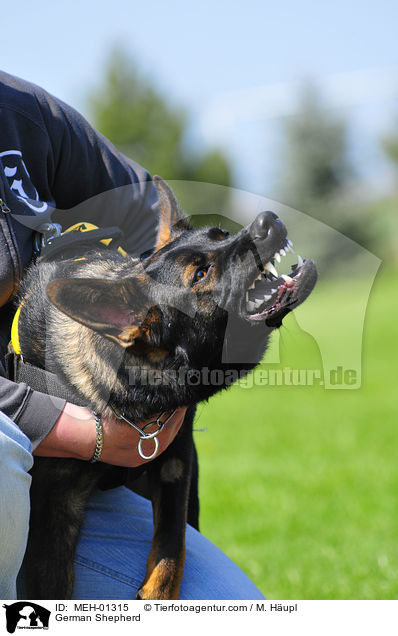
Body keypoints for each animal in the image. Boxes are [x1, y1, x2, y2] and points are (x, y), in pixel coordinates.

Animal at [15, 175, 318, 600]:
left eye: (221, 235)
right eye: (200, 275)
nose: (267, 218)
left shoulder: (176, 462)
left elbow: (171, 549)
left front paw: (156, 596)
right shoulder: (51, 508)